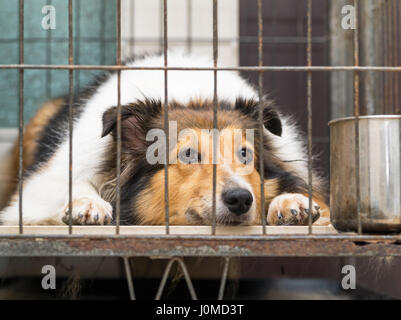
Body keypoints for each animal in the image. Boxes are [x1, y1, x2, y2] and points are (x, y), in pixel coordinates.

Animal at [0, 52, 330, 226]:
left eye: (245, 154)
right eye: (188, 155)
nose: (240, 199)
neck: (192, 93)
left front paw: (292, 201)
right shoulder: (40, 189)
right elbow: (72, 186)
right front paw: (88, 204)